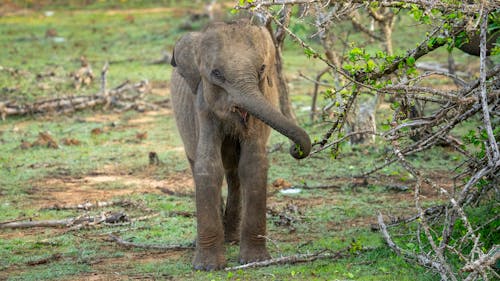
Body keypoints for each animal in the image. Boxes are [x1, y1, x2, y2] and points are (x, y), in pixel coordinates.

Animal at [170, 19, 310, 270]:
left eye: (262, 69)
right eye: (216, 74)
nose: (296, 149)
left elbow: (253, 164)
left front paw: (255, 261)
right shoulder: (202, 107)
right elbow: (208, 166)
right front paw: (207, 267)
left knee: (234, 173)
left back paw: (232, 238)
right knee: (198, 164)